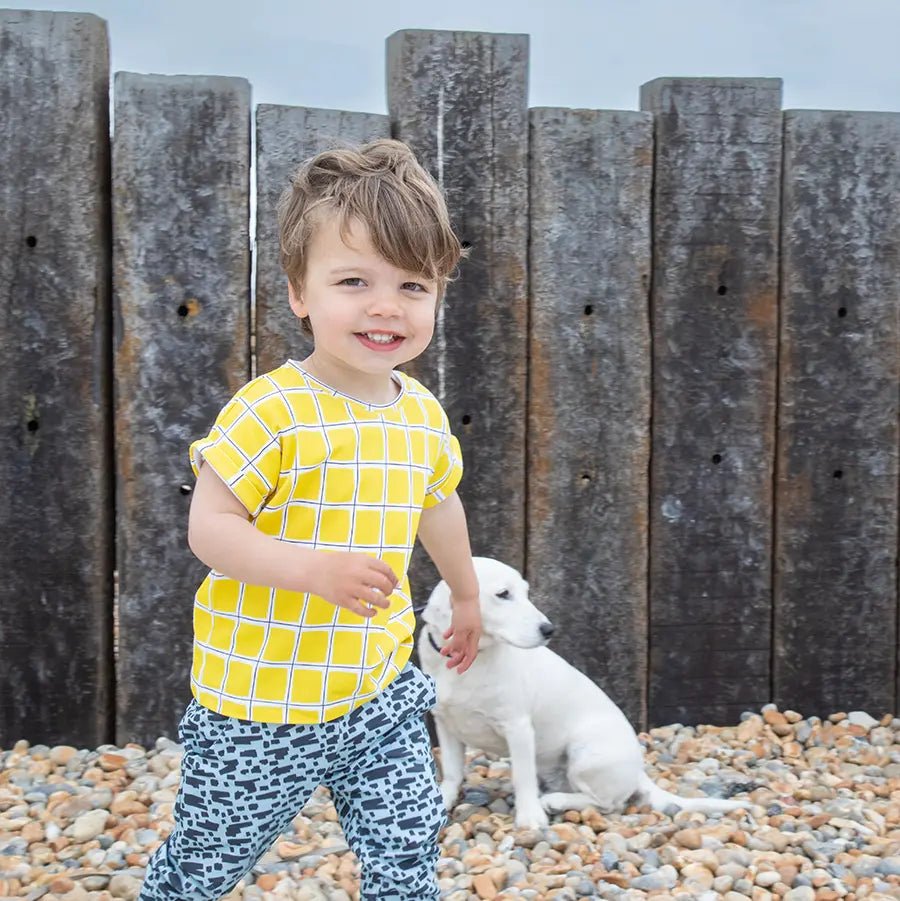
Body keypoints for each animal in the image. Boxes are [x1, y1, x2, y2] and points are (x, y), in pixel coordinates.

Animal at [418, 556, 748, 828]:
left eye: (525, 592)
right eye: (503, 594)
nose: (548, 630)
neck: (470, 661)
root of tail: (638, 771)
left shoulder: (518, 728)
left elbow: (522, 776)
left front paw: (529, 817)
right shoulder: (446, 724)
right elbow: (453, 770)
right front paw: (443, 799)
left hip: (586, 755)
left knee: (608, 804)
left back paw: (555, 802)